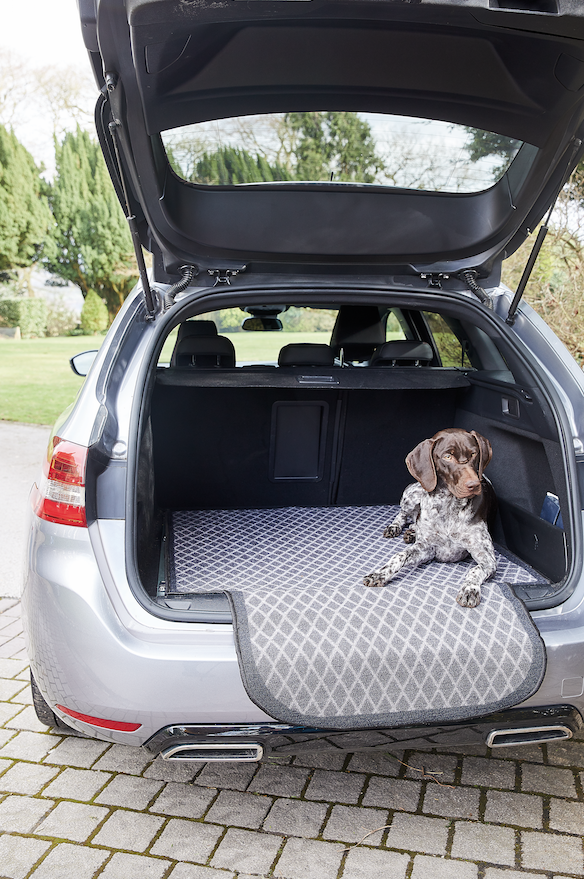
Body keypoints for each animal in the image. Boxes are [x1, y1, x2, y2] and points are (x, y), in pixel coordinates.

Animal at [363, 428, 496, 607]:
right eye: (447, 456)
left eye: (474, 454)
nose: (474, 485)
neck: (448, 505)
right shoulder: (427, 549)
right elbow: (399, 556)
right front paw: (379, 574)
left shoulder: (487, 558)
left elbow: (475, 570)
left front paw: (470, 589)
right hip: (412, 494)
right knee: (404, 514)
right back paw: (396, 527)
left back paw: (412, 532)